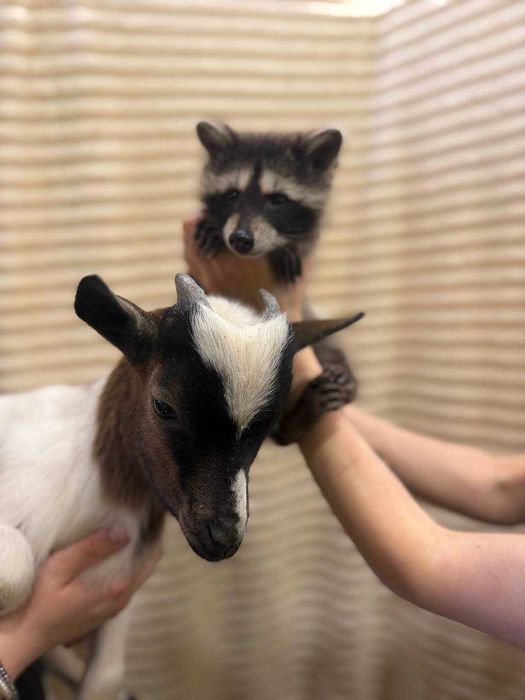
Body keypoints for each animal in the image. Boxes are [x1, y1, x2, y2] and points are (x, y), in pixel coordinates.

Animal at [0, 273, 362, 700]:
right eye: (163, 406)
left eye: (270, 424)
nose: (222, 537)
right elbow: (18, 566)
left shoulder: (116, 588)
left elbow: (106, 677)